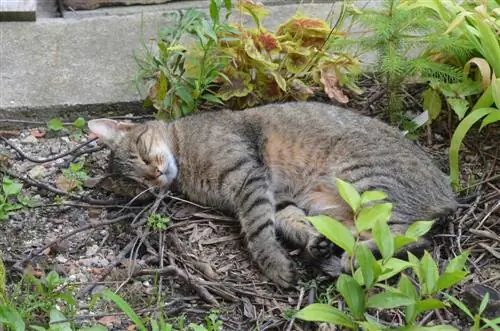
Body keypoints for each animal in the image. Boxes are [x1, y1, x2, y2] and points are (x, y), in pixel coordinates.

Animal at [88, 102, 456, 290]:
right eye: (139, 186)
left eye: (138, 151)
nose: (154, 175)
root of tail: (451, 194)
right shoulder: (275, 197)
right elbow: (288, 222)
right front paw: (310, 242)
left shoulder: (249, 180)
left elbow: (257, 233)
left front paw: (275, 265)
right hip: (329, 207)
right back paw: (329, 253)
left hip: (361, 182)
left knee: (412, 238)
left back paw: (353, 260)